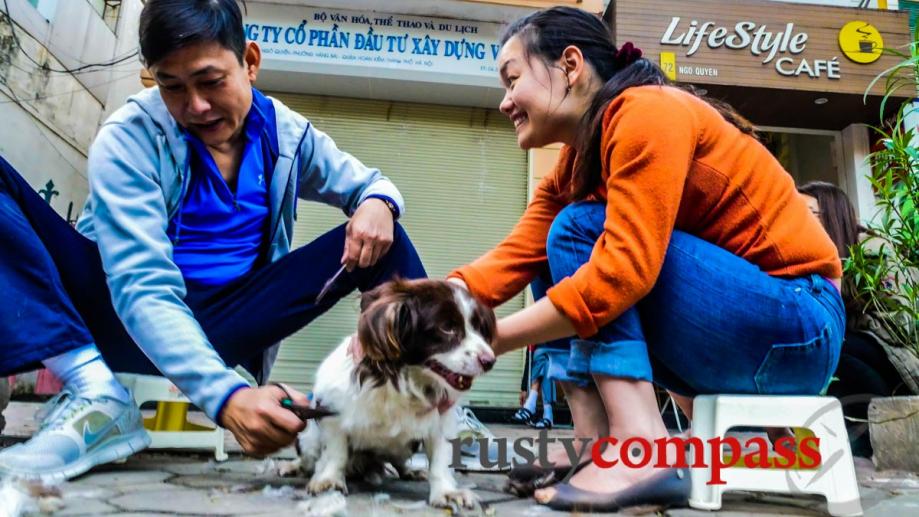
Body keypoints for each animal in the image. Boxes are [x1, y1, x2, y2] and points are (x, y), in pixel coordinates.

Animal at [294, 278, 496, 508]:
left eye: (478, 327)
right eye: (447, 328)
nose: (490, 361)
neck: (403, 380)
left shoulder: (441, 421)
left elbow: (440, 460)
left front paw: (447, 492)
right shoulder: (331, 413)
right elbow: (336, 453)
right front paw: (329, 480)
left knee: (399, 461)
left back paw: (410, 471)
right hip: (307, 439)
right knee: (309, 456)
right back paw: (294, 466)